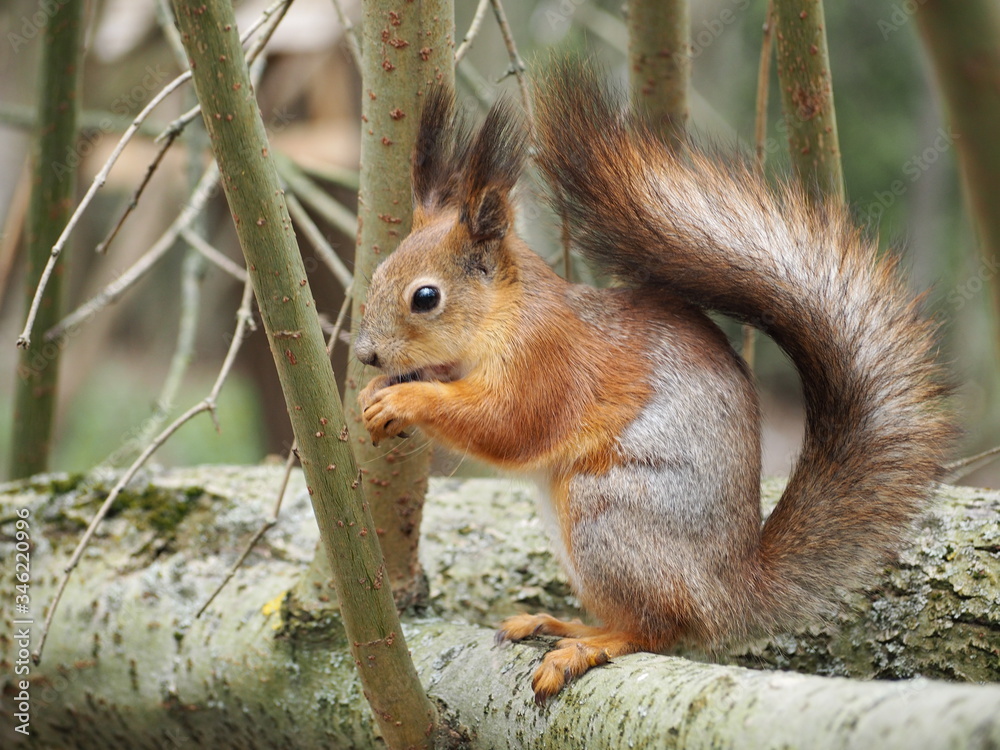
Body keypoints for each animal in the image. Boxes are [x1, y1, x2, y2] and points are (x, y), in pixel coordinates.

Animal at [355, 61, 953, 704]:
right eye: (379, 271)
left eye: (425, 297)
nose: (364, 354)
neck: (502, 316)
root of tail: (729, 589)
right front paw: (377, 391)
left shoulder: (549, 361)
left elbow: (509, 426)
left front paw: (404, 397)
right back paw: (561, 624)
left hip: (607, 512)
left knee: (658, 629)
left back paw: (587, 647)